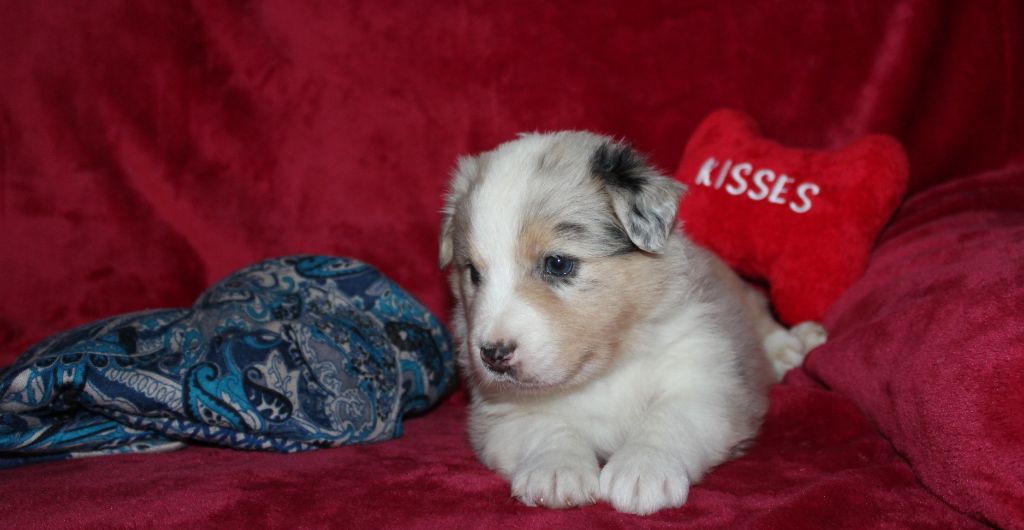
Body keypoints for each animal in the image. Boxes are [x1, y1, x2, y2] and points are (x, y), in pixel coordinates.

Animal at [439, 131, 826, 515]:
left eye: (558, 264)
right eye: (473, 273)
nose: (493, 355)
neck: (604, 371)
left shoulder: (705, 381)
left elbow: (667, 419)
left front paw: (642, 471)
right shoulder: (500, 415)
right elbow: (546, 428)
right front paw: (555, 472)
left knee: (760, 310)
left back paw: (794, 345)